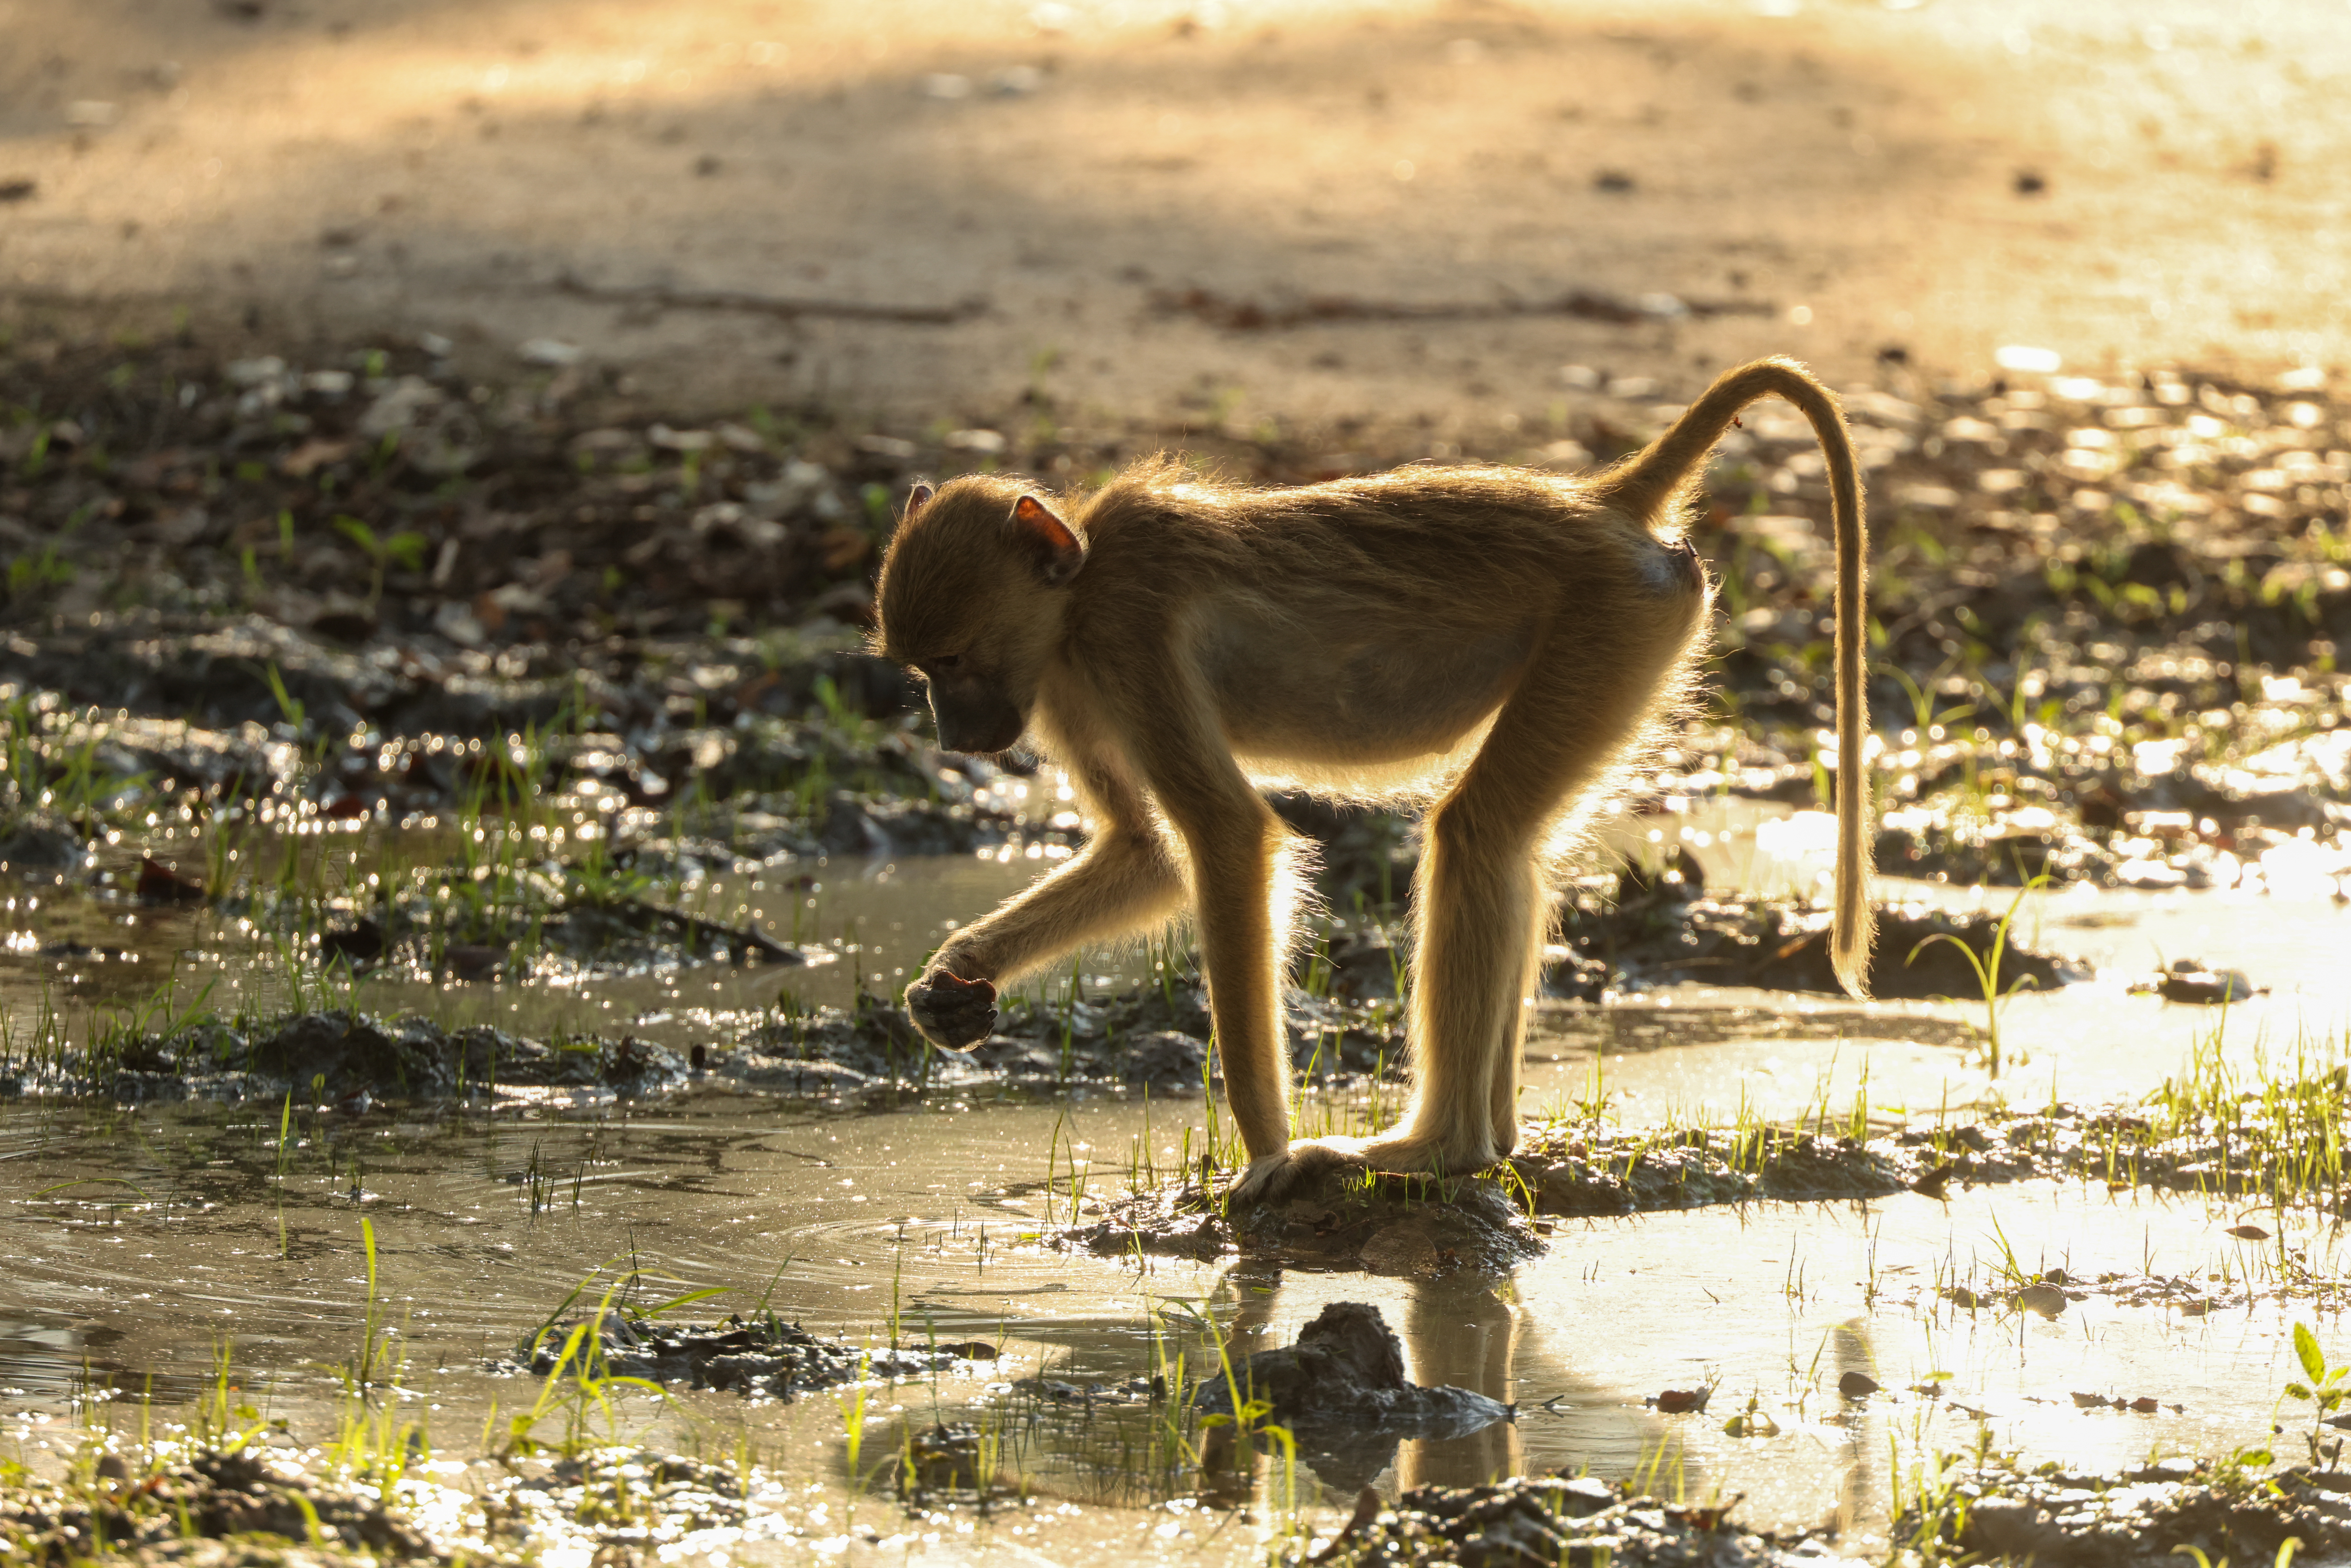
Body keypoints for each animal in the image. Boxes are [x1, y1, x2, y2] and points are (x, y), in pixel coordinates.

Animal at [873, 356, 1870, 1205]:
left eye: (953, 660)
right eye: (921, 671)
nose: (955, 734)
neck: (1078, 593)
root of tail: (1600, 502)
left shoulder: (1128, 639)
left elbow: (1228, 838)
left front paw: (1266, 1155)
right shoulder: (1069, 692)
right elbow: (1147, 855)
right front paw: (954, 978)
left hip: (1614, 624)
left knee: (1476, 833)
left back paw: (1438, 1149)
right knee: (1508, 847)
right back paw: (1492, 1140)